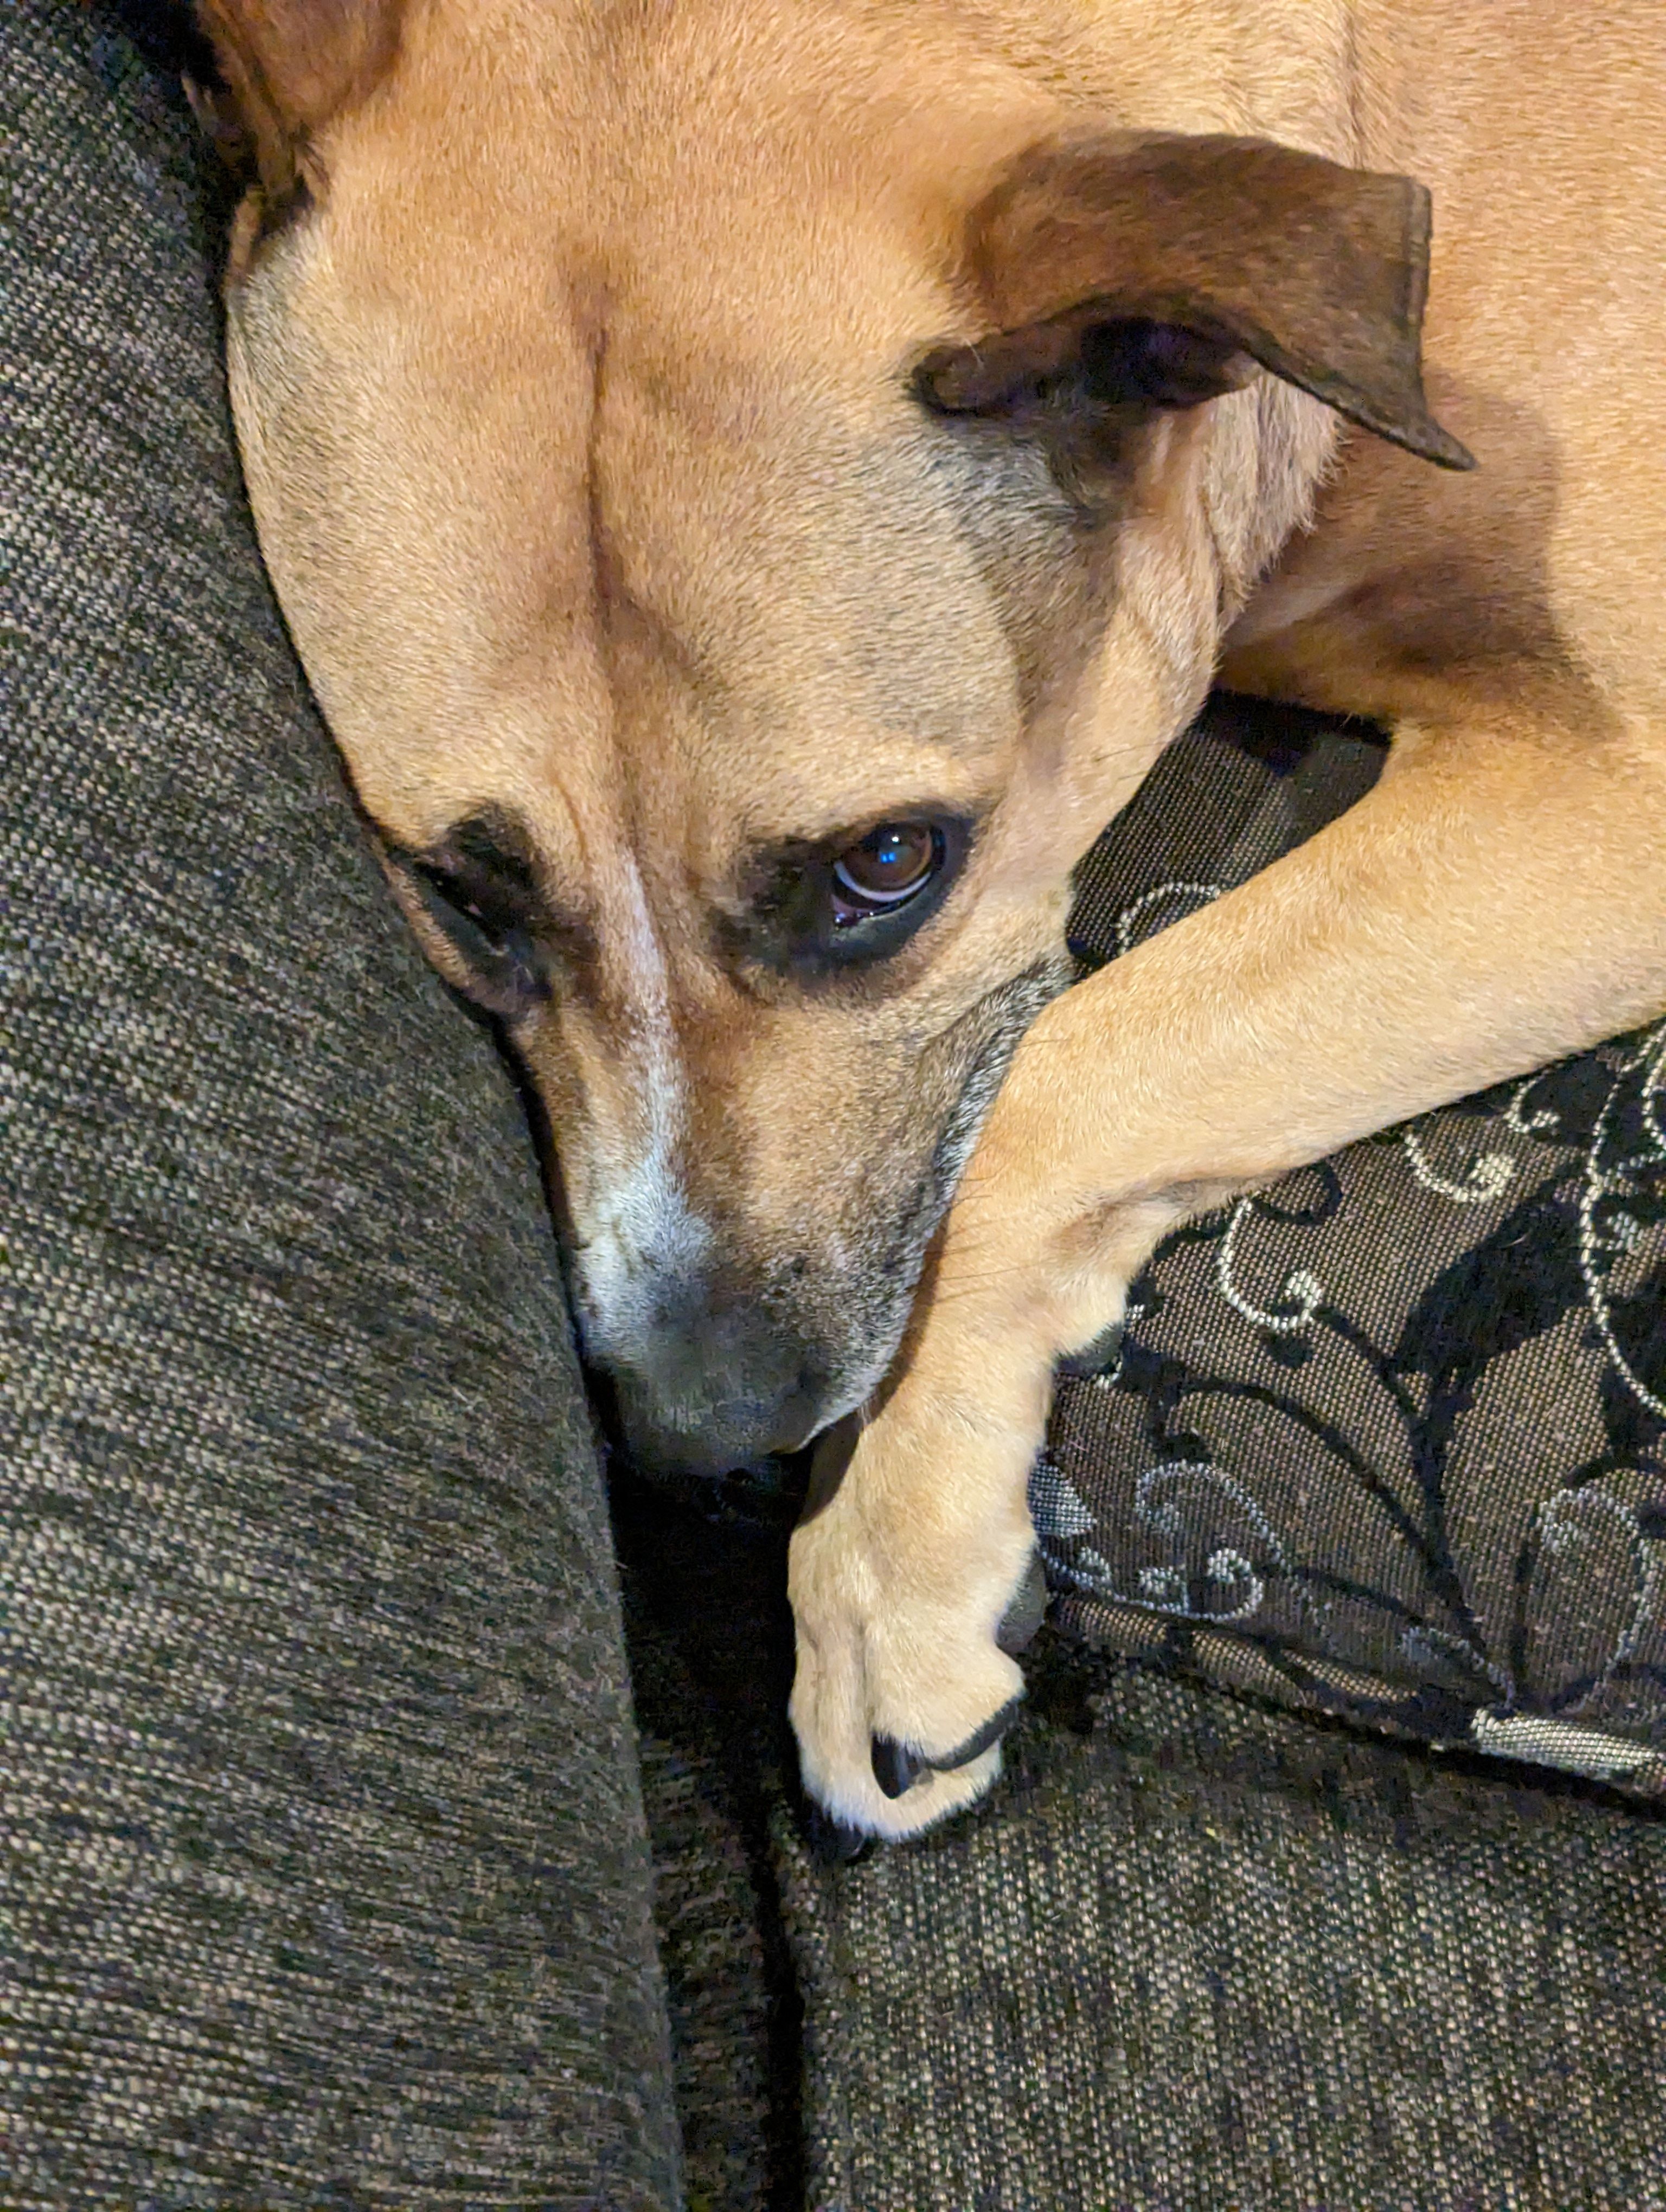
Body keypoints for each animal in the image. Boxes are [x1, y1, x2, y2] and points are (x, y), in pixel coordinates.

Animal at [179, 0, 1663, 1831]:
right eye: (467, 896)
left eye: (888, 865)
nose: (698, 1432)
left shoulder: (1614, 779)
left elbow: (1068, 1074)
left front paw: (879, 1562)